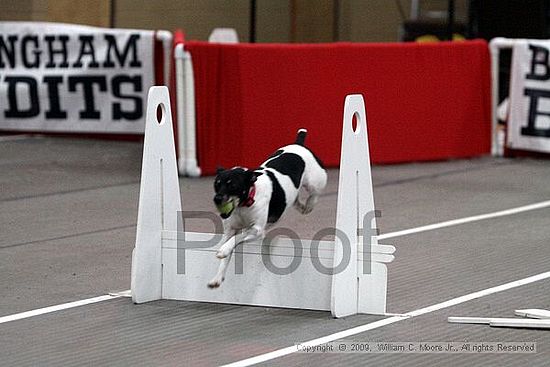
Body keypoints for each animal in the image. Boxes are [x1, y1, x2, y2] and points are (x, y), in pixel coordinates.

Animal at [208, 128, 328, 288]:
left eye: (232, 185)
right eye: (217, 184)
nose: (217, 199)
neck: (245, 203)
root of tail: (299, 143)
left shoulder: (257, 230)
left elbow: (237, 238)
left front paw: (224, 250)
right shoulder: (230, 230)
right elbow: (227, 251)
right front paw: (217, 277)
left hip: (316, 181)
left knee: (315, 193)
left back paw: (308, 205)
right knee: (294, 199)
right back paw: (300, 206)